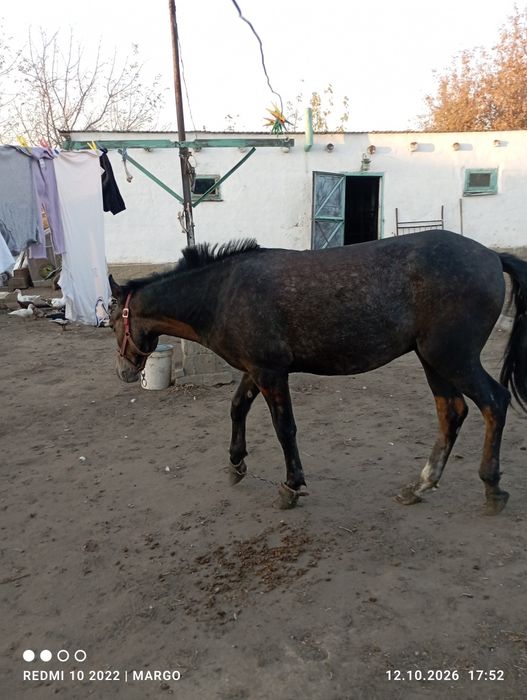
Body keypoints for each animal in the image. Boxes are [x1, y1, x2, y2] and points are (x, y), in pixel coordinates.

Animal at [109, 230, 527, 513]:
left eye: (112, 320)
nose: (124, 372)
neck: (223, 293)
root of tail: (492, 256)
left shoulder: (270, 372)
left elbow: (284, 428)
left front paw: (291, 487)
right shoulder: (256, 368)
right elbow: (237, 407)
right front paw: (236, 463)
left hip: (453, 358)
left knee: (494, 403)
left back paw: (492, 488)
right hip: (434, 361)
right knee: (452, 413)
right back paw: (420, 486)